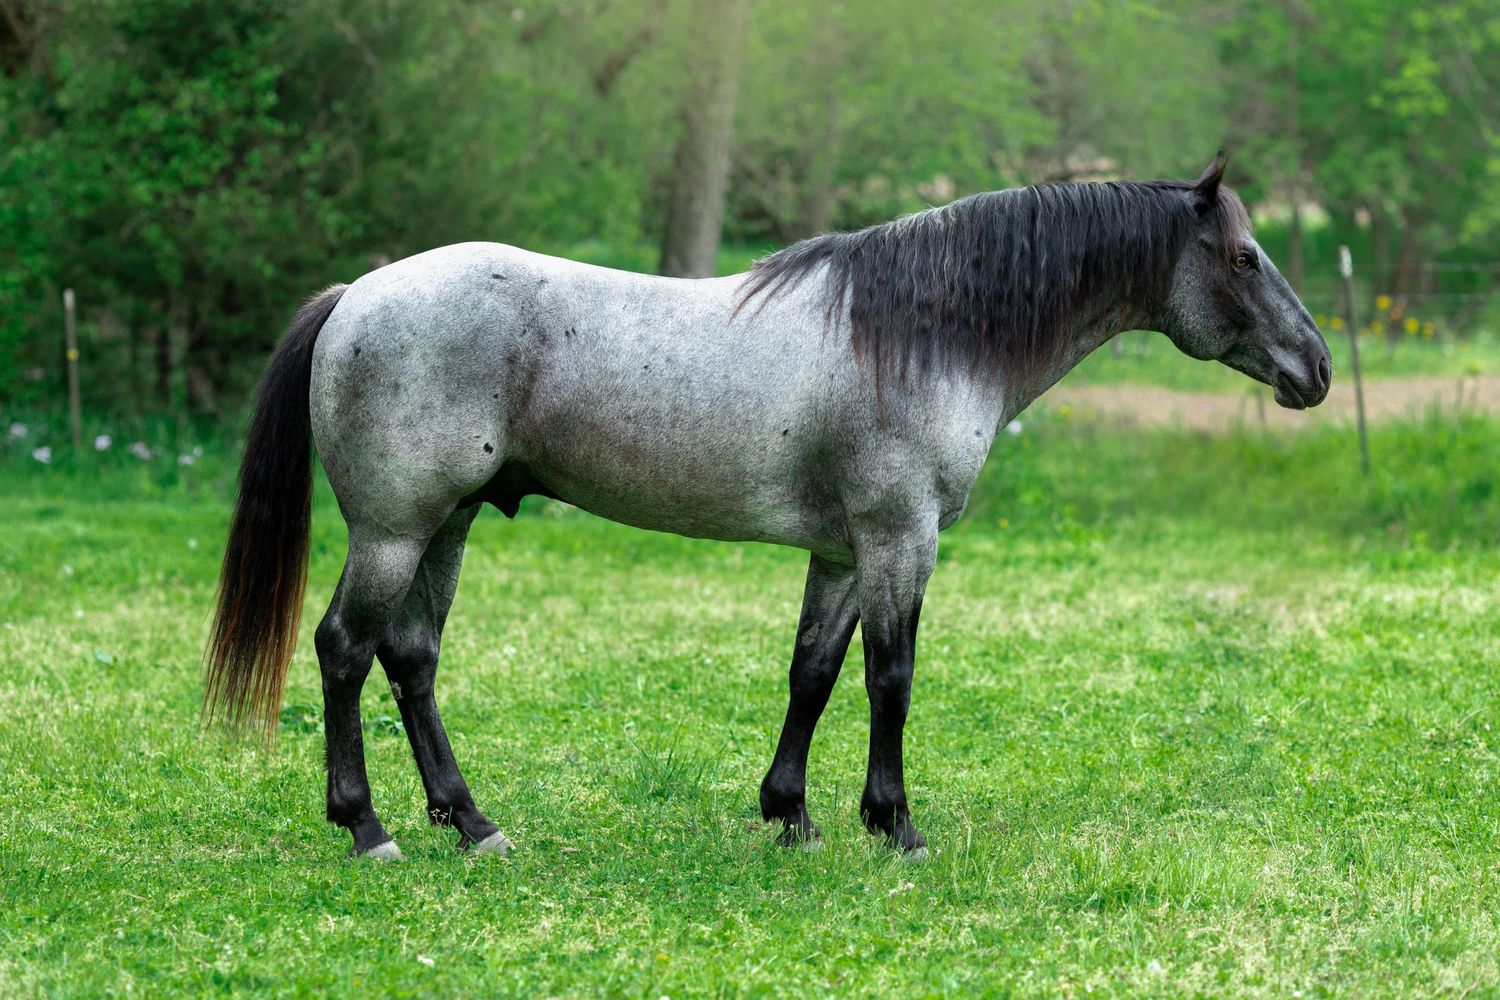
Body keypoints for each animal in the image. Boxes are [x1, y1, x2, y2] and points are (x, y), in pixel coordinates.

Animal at [205, 153, 1330, 861]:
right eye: (1244, 257)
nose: (1315, 369)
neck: (918, 332)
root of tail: (355, 295)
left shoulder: (842, 551)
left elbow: (814, 673)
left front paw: (791, 816)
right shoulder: (899, 537)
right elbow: (890, 677)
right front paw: (896, 826)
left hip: (447, 523)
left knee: (411, 658)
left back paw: (472, 824)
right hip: (395, 530)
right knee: (346, 649)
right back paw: (367, 828)